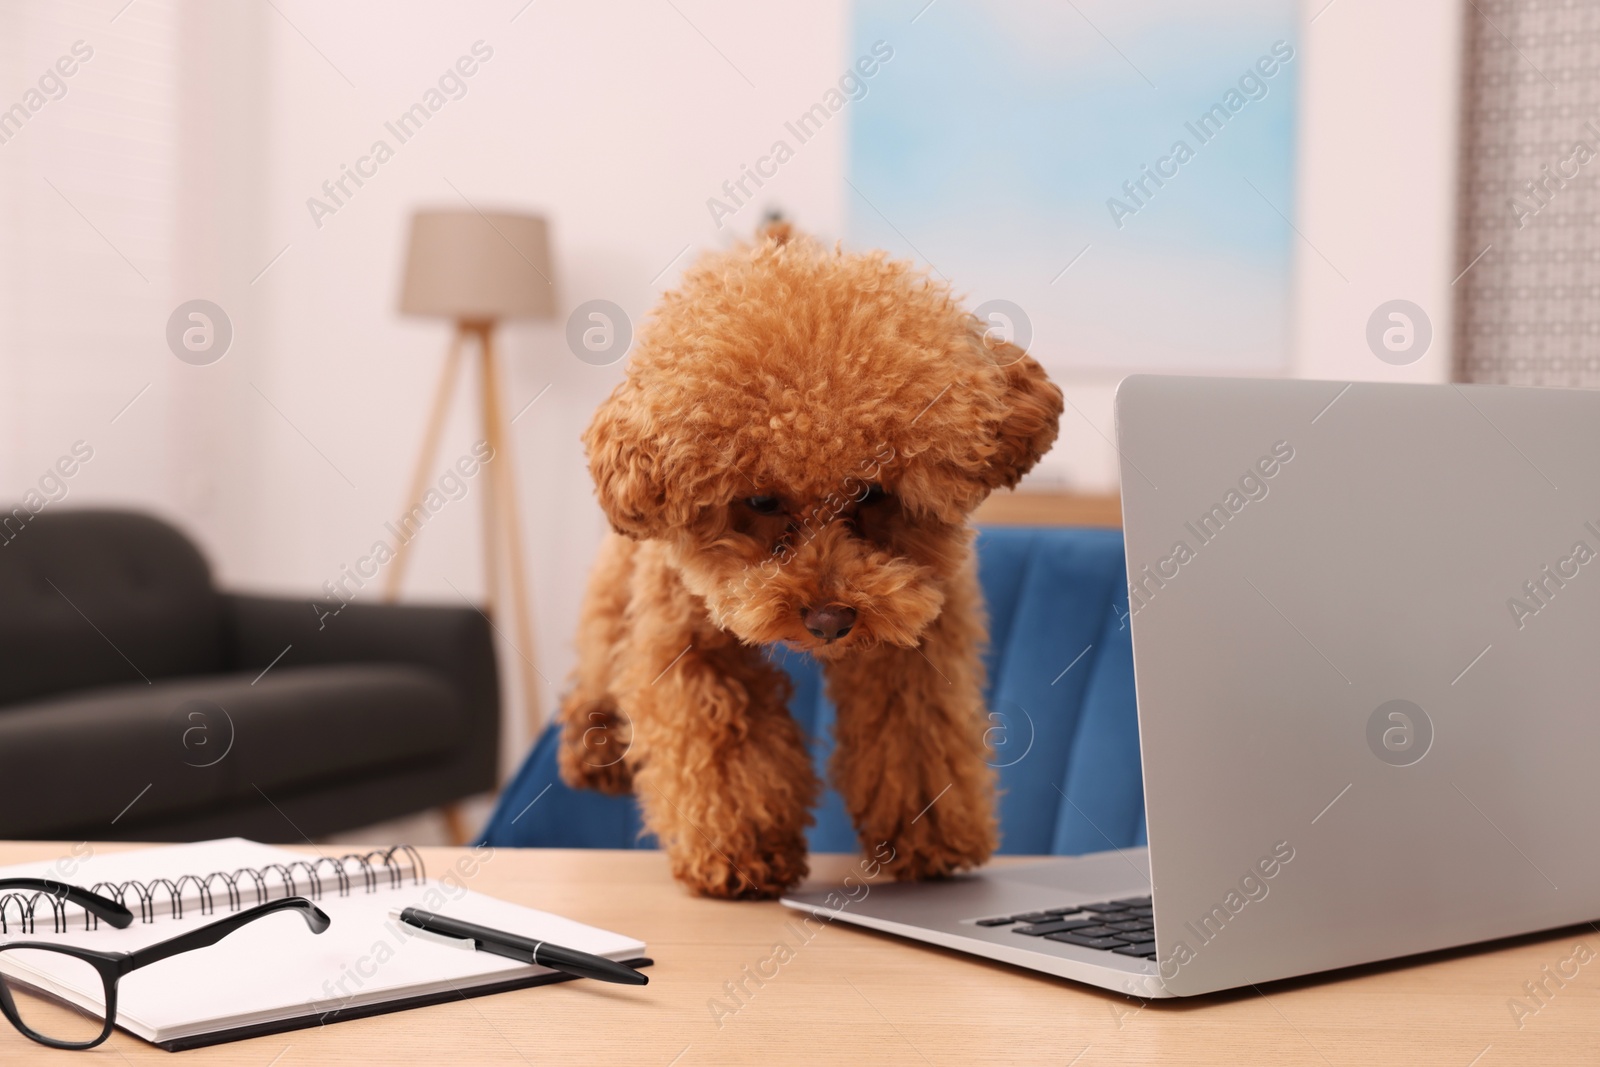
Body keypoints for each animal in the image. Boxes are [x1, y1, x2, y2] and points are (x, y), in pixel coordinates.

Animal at [563, 225, 1062, 902]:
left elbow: (915, 735)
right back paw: (590, 746)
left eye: (873, 492)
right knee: (600, 639)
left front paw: (933, 841)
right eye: (760, 501)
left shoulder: (917, 642)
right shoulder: (687, 642)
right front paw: (742, 853)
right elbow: (720, 744)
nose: (829, 621)